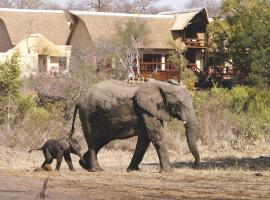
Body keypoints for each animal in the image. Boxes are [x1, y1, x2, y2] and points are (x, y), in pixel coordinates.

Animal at [70, 79, 200, 172]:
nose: (194, 166)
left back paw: (84, 165)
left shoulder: (151, 111)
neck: (162, 86)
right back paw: (96, 170)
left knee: (99, 141)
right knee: (93, 141)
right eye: (178, 104)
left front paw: (133, 170)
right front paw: (168, 171)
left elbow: (144, 139)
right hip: (88, 115)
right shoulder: (145, 110)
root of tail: (79, 100)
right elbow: (156, 136)